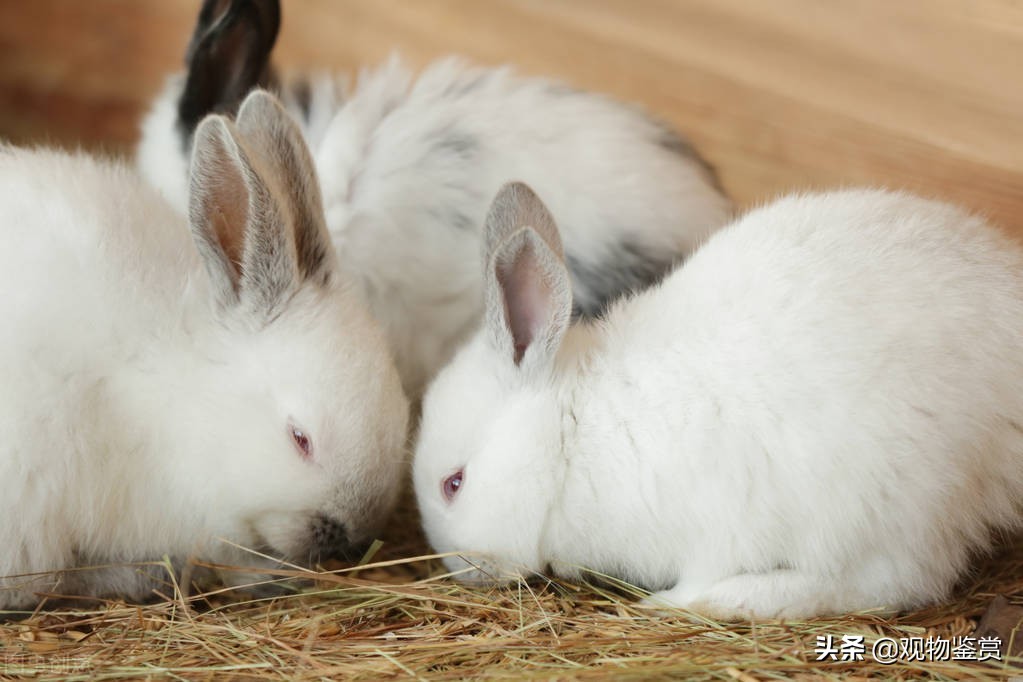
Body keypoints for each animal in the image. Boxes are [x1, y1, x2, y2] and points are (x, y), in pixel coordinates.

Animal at [411, 183, 1023, 625]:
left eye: (454, 484)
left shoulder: (714, 527)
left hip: (884, 501)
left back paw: (734, 600)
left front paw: (674, 603)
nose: (462, 571)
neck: (570, 434)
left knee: (895, 583)